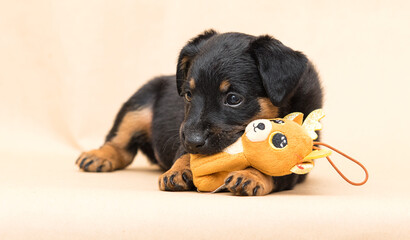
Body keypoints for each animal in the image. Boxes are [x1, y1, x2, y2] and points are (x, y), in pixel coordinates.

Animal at [75, 29, 322, 195]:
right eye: (188, 95)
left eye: (234, 99)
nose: (193, 141)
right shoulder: (183, 133)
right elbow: (185, 155)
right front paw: (179, 170)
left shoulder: (299, 163)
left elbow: (274, 168)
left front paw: (250, 176)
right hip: (139, 104)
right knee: (121, 145)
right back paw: (98, 156)